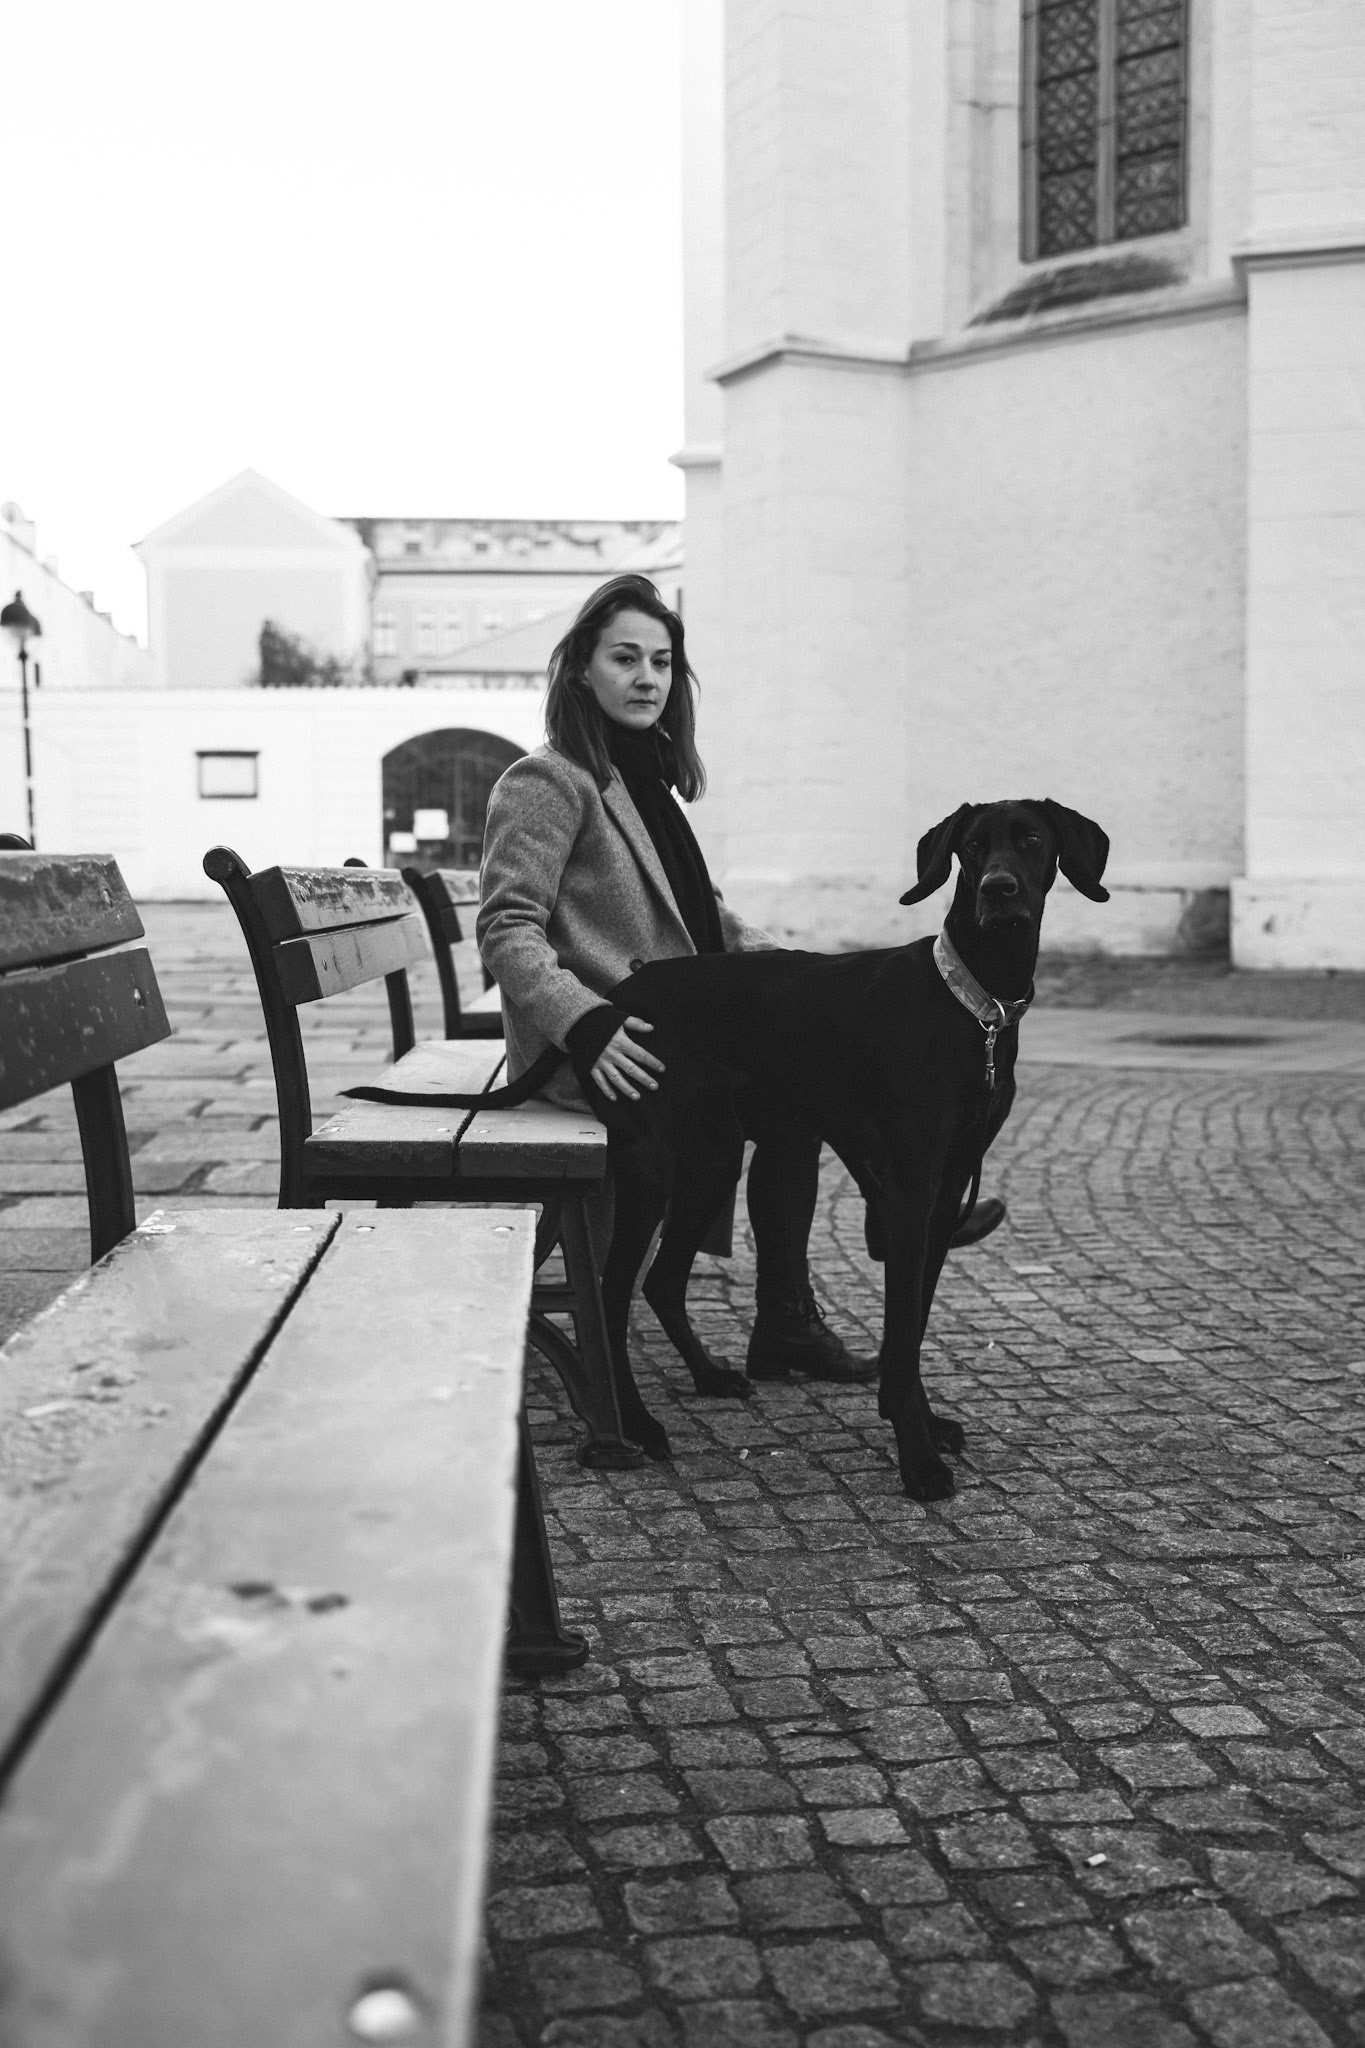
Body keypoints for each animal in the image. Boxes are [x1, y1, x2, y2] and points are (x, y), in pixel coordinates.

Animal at [352, 798, 1109, 1499]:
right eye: (972, 847)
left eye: (1030, 839)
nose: (999, 891)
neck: (973, 1004)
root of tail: (609, 1005)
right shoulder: (908, 1190)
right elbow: (900, 1336)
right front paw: (917, 1458)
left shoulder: (945, 1189)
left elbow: (914, 1324)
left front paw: (924, 1425)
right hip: (649, 1165)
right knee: (615, 1292)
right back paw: (637, 1425)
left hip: (711, 1160)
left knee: (661, 1280)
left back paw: (709, 1376)